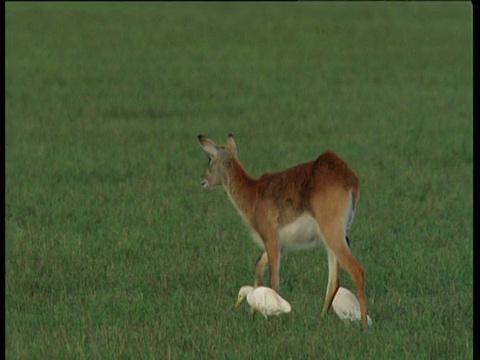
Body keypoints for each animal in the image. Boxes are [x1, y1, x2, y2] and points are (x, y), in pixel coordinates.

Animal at [197, 133, 370, 330]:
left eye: (209, 158)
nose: (203, 181)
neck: (253, 194)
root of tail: (348, 178)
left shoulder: (271, 241)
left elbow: (273, 282)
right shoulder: (279, 246)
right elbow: (258, 267)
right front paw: (253, 314)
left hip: (333, 236)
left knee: (357, 271)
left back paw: (364, 325)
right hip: (332, 241)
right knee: (334, 281)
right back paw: (321, 318)